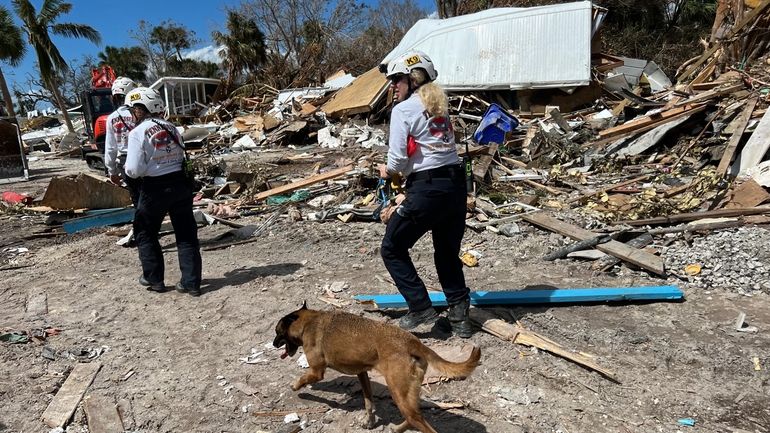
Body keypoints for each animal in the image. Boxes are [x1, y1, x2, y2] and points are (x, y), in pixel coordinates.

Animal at [272, 304, 480, 432]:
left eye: (277, 332)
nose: (273, 344)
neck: (308, 321)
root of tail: (412, 342)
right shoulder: (362, 373)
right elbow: (368, 402)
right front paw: (369, 421)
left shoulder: (316, 371)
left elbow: (304, 378)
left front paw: (295, 386)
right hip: (407, 394)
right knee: (415, 416)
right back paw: (398, 428)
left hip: (397, 390)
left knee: (419, 421)